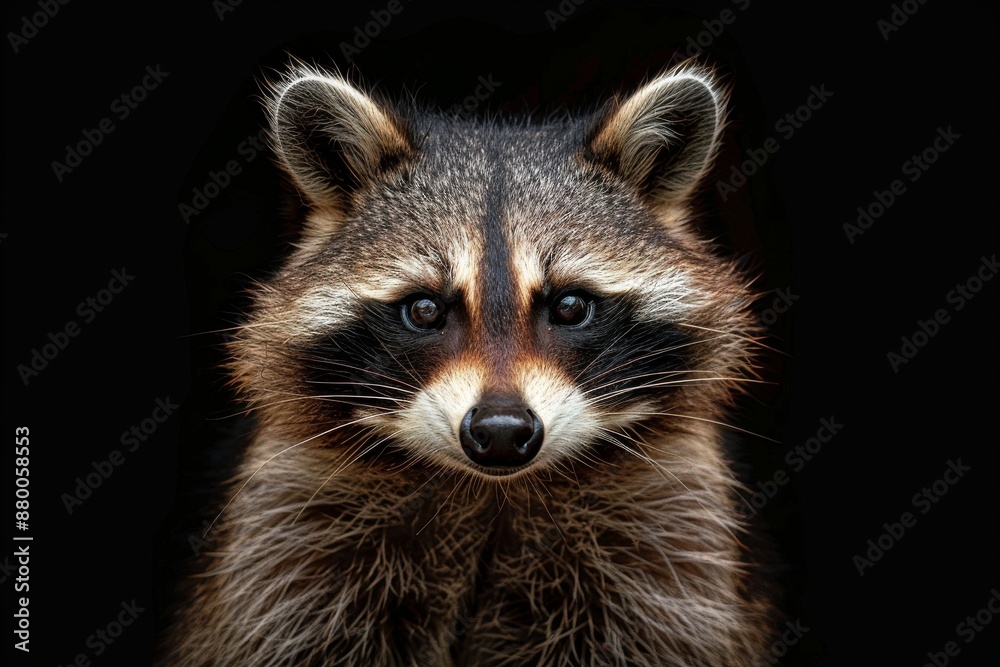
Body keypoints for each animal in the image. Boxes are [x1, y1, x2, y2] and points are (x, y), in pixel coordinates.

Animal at [161, 61, 775, 666]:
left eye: (570, 306)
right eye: (425, 309)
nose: (501, 432)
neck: (490, 492)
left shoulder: (665, 543)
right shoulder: (292, 539)